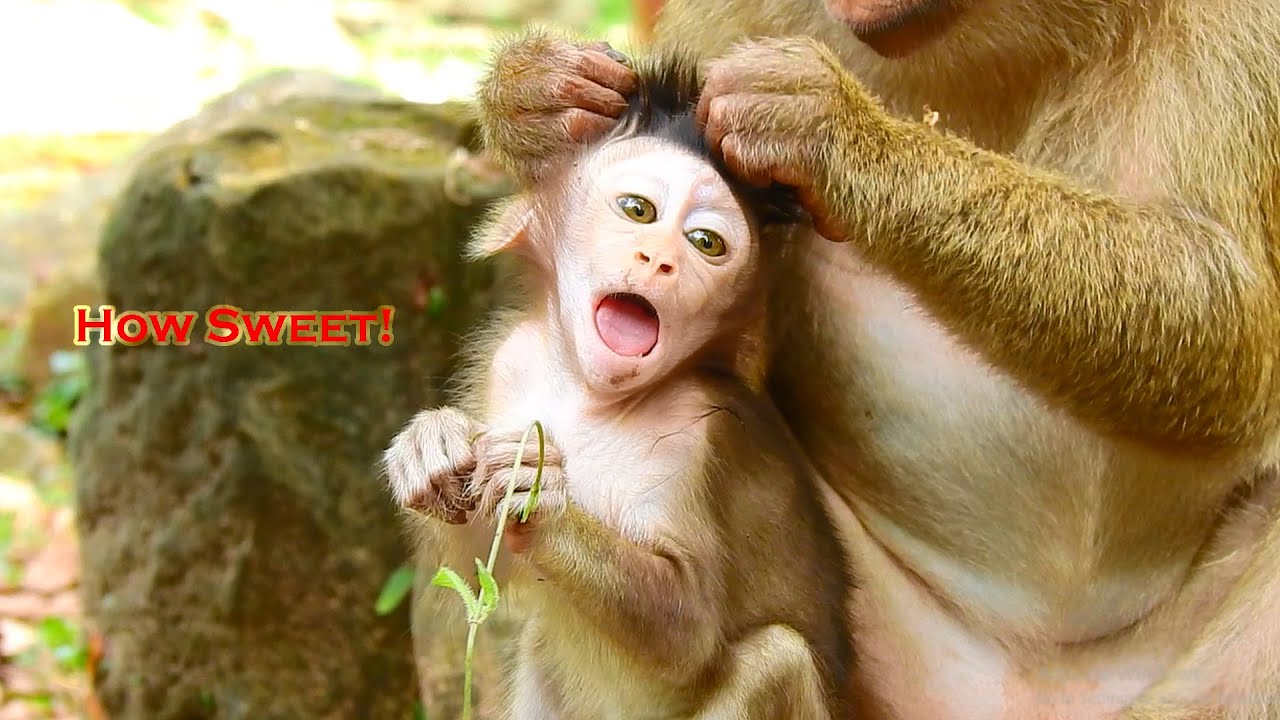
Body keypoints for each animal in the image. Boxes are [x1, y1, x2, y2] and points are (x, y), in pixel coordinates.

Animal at [384, 53, 856, 720]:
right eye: (639, 211)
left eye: (706, 243)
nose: (659, 260)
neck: (592, 395)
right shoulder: (509, 361)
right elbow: (475, 569)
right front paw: (430, 445)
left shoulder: (698, 432)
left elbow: (687, 633)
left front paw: (542, 499)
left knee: (777, 660)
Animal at [469, 3, 1280, 720]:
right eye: (636, 209)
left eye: (704, 240)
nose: (657, 260)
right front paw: (533, 98)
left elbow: (1231, 321)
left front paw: (839, 133)